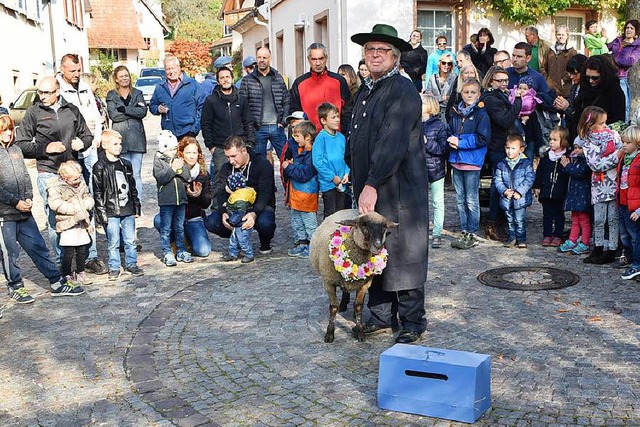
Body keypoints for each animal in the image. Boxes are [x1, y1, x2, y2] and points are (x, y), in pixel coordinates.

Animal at [308, 209, 396, 342]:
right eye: (364, 225)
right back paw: (343, 305)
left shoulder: (365, 284)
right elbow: (333, 308)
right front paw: (329, 334)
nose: (378, 245)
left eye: (384, 227)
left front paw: (360, 333)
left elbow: (358, 306)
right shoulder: (328, 282)